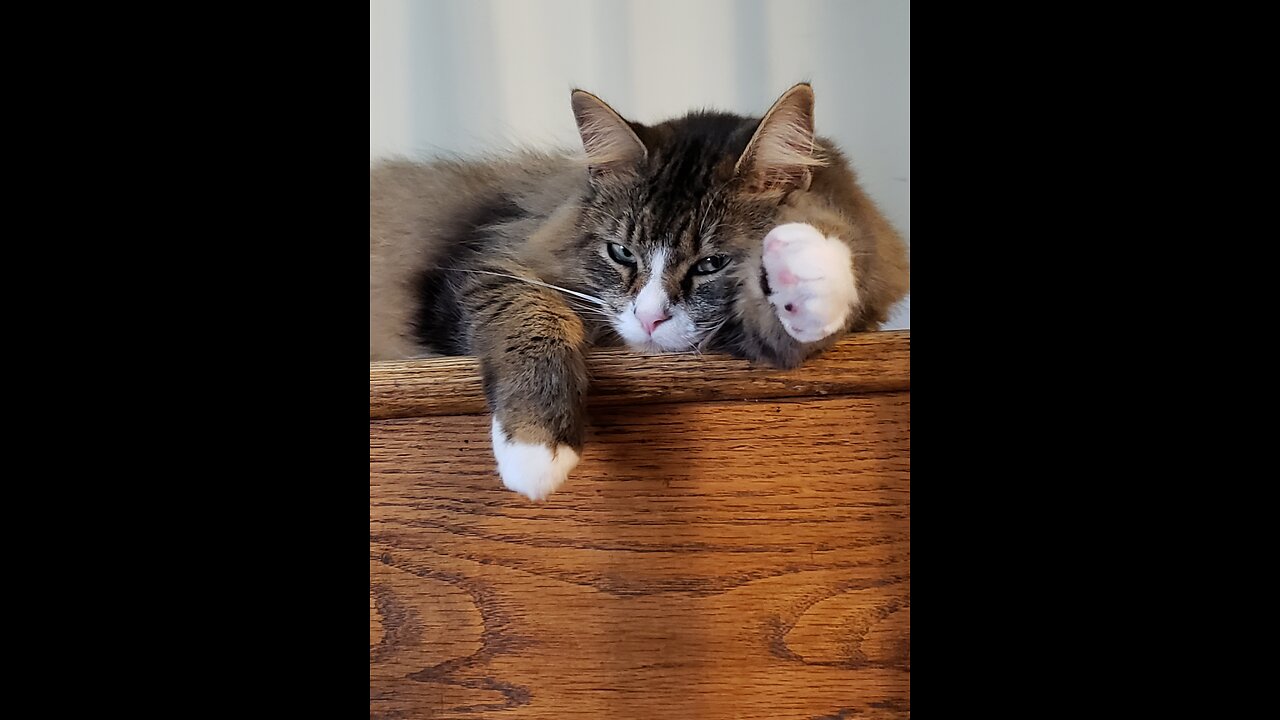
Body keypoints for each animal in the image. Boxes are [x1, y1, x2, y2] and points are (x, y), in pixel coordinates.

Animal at [371, 82, 911, 499]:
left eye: (712, 263)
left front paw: (801, 267)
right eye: (622, 254)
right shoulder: (483, 272)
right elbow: (533, 320)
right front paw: (535, 449)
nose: (649, 318)